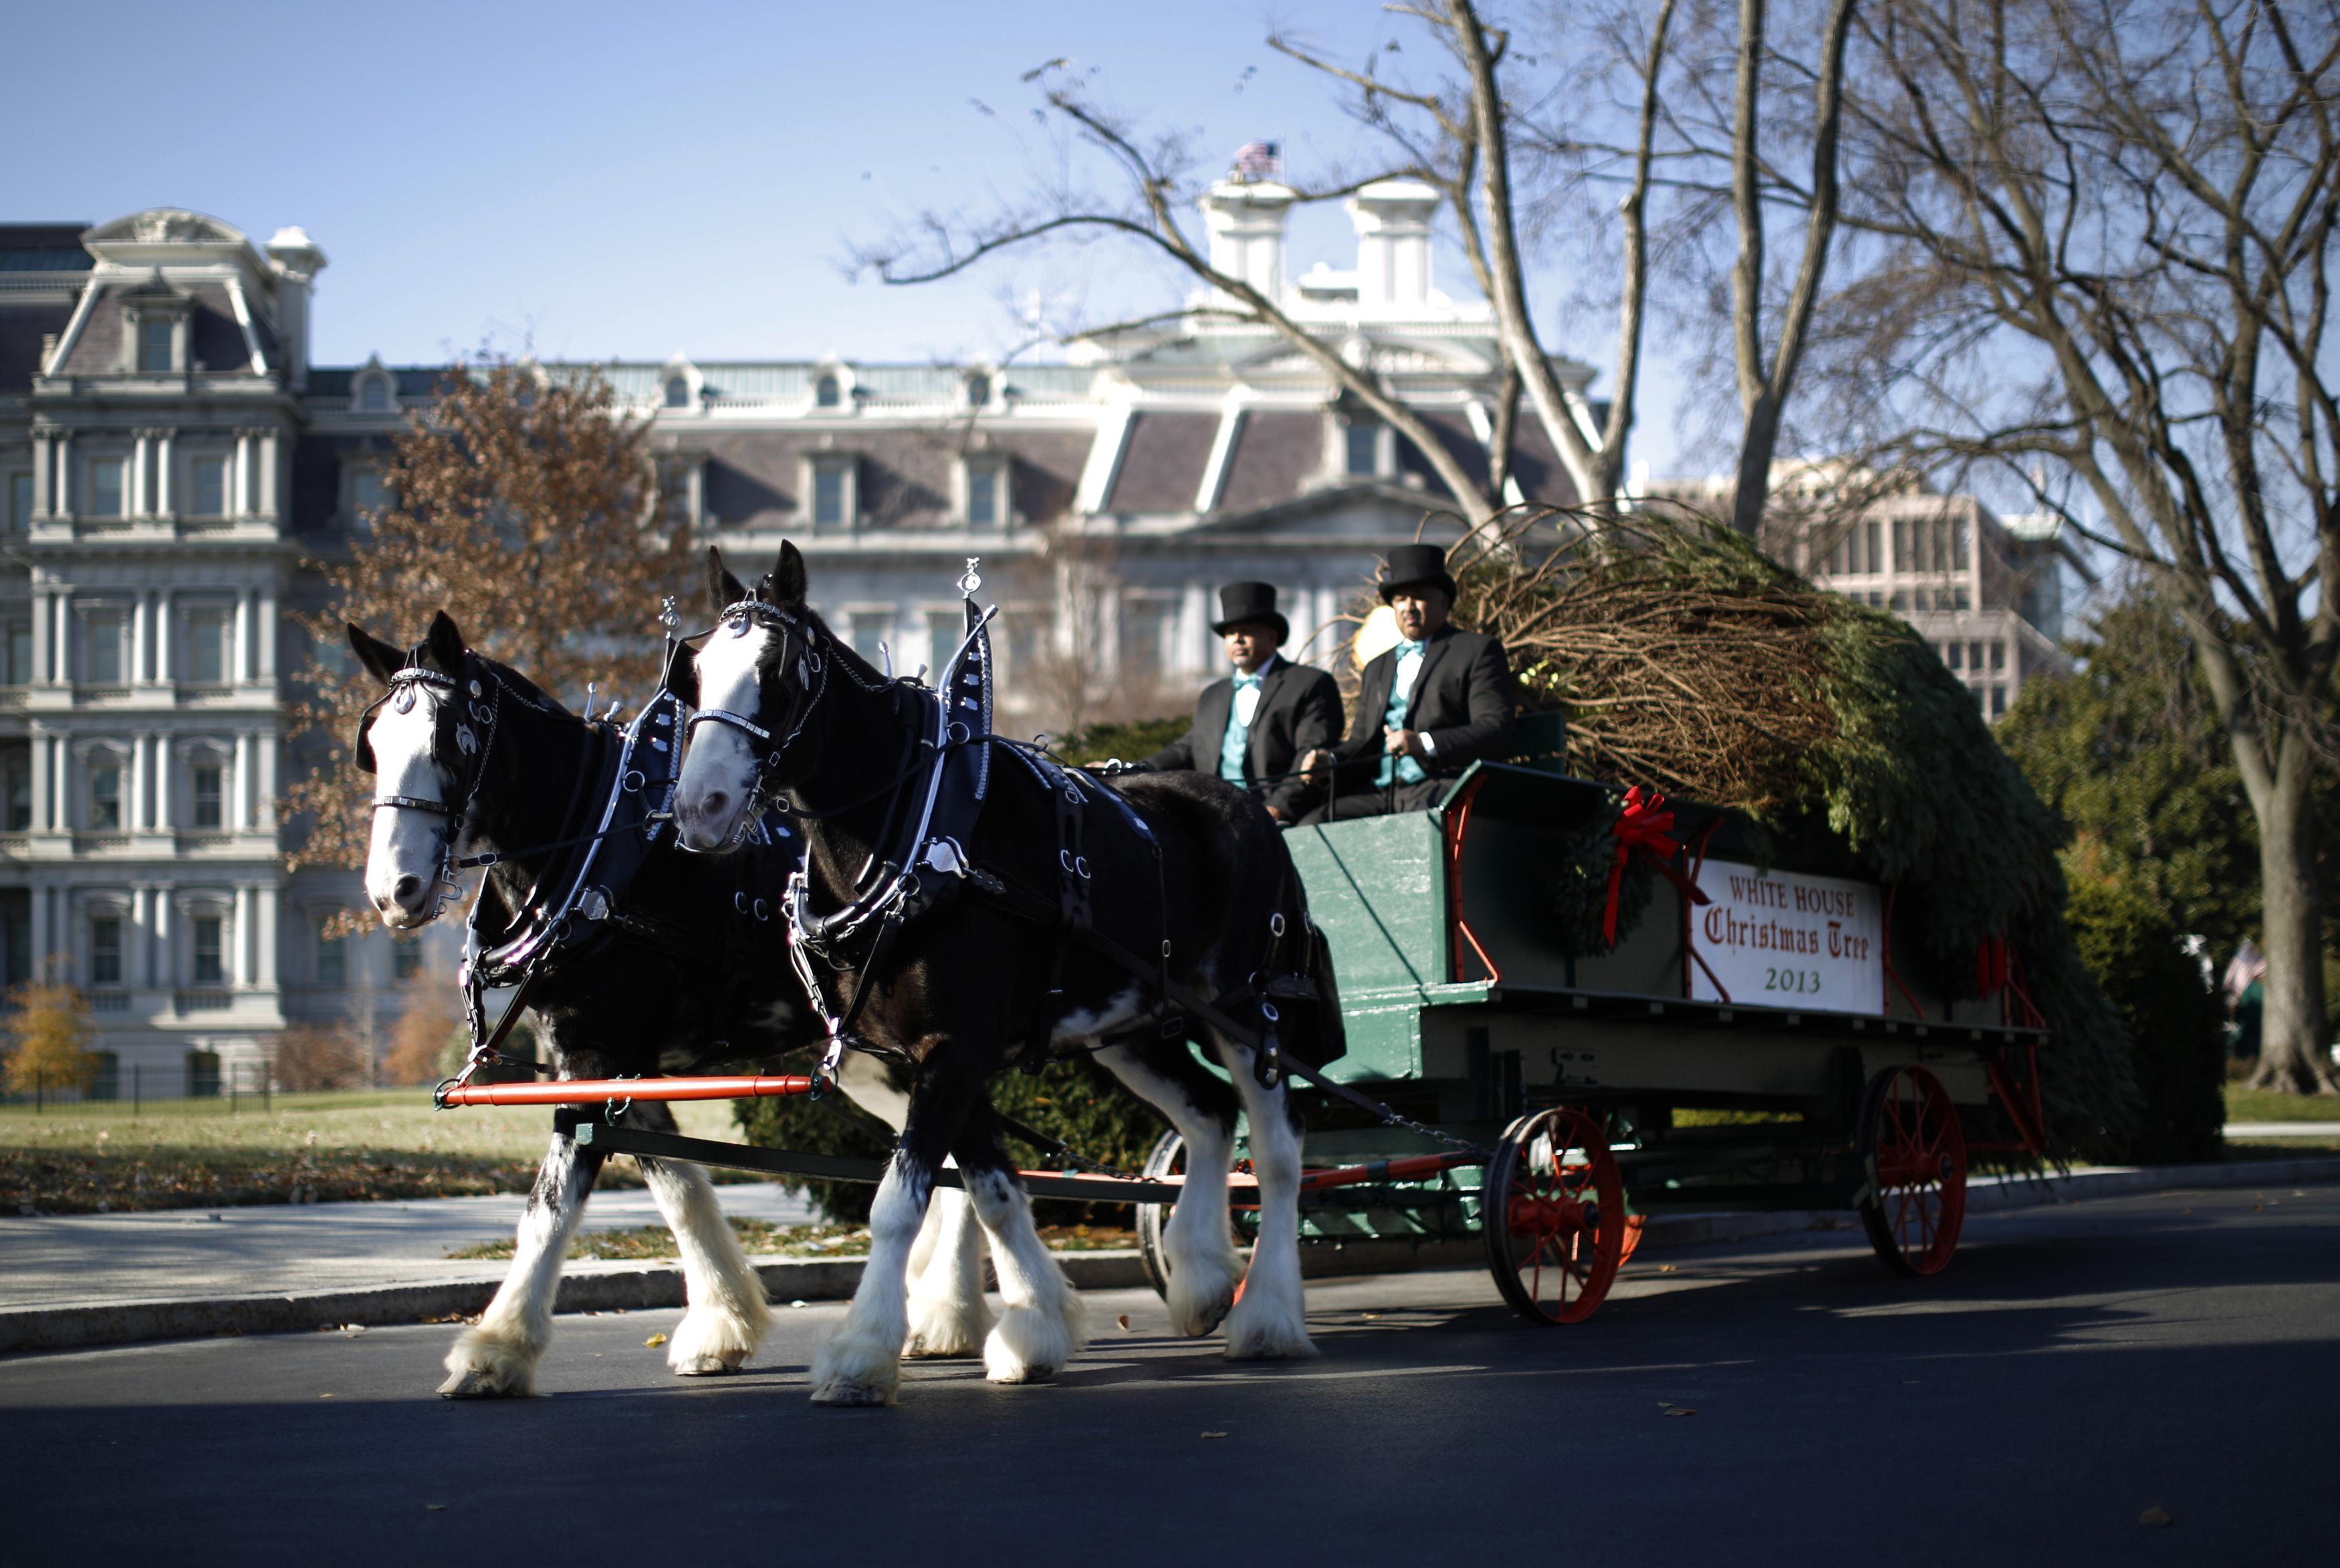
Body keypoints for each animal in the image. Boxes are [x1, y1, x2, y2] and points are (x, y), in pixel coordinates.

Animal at [348, 613, 1006, 1404]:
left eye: (449, 742)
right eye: (373, 747)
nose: (393, 891)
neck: (604, 858)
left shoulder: (597, 1058)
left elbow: (549, 1206)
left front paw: (497, 1349)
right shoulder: (615, 1065)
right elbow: (678, 1190)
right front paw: (724, 1323)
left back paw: (945, 1311)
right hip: (871, 1061)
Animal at [679, 549, 1338, 1413]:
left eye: (778, 672)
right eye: (693, 671)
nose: (699, 806)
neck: (919, 839)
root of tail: (1245, 802)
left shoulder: (953, 1050)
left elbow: (900, 1202)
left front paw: (861, 1352)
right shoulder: (927, 1059)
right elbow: (992, 1190)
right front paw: (1032, 1329)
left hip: (1246, 1013)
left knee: (1276, 1151)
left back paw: (1266, 1315)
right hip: (1128, 1029)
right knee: (1206, 1114)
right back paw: (1200, 1278)